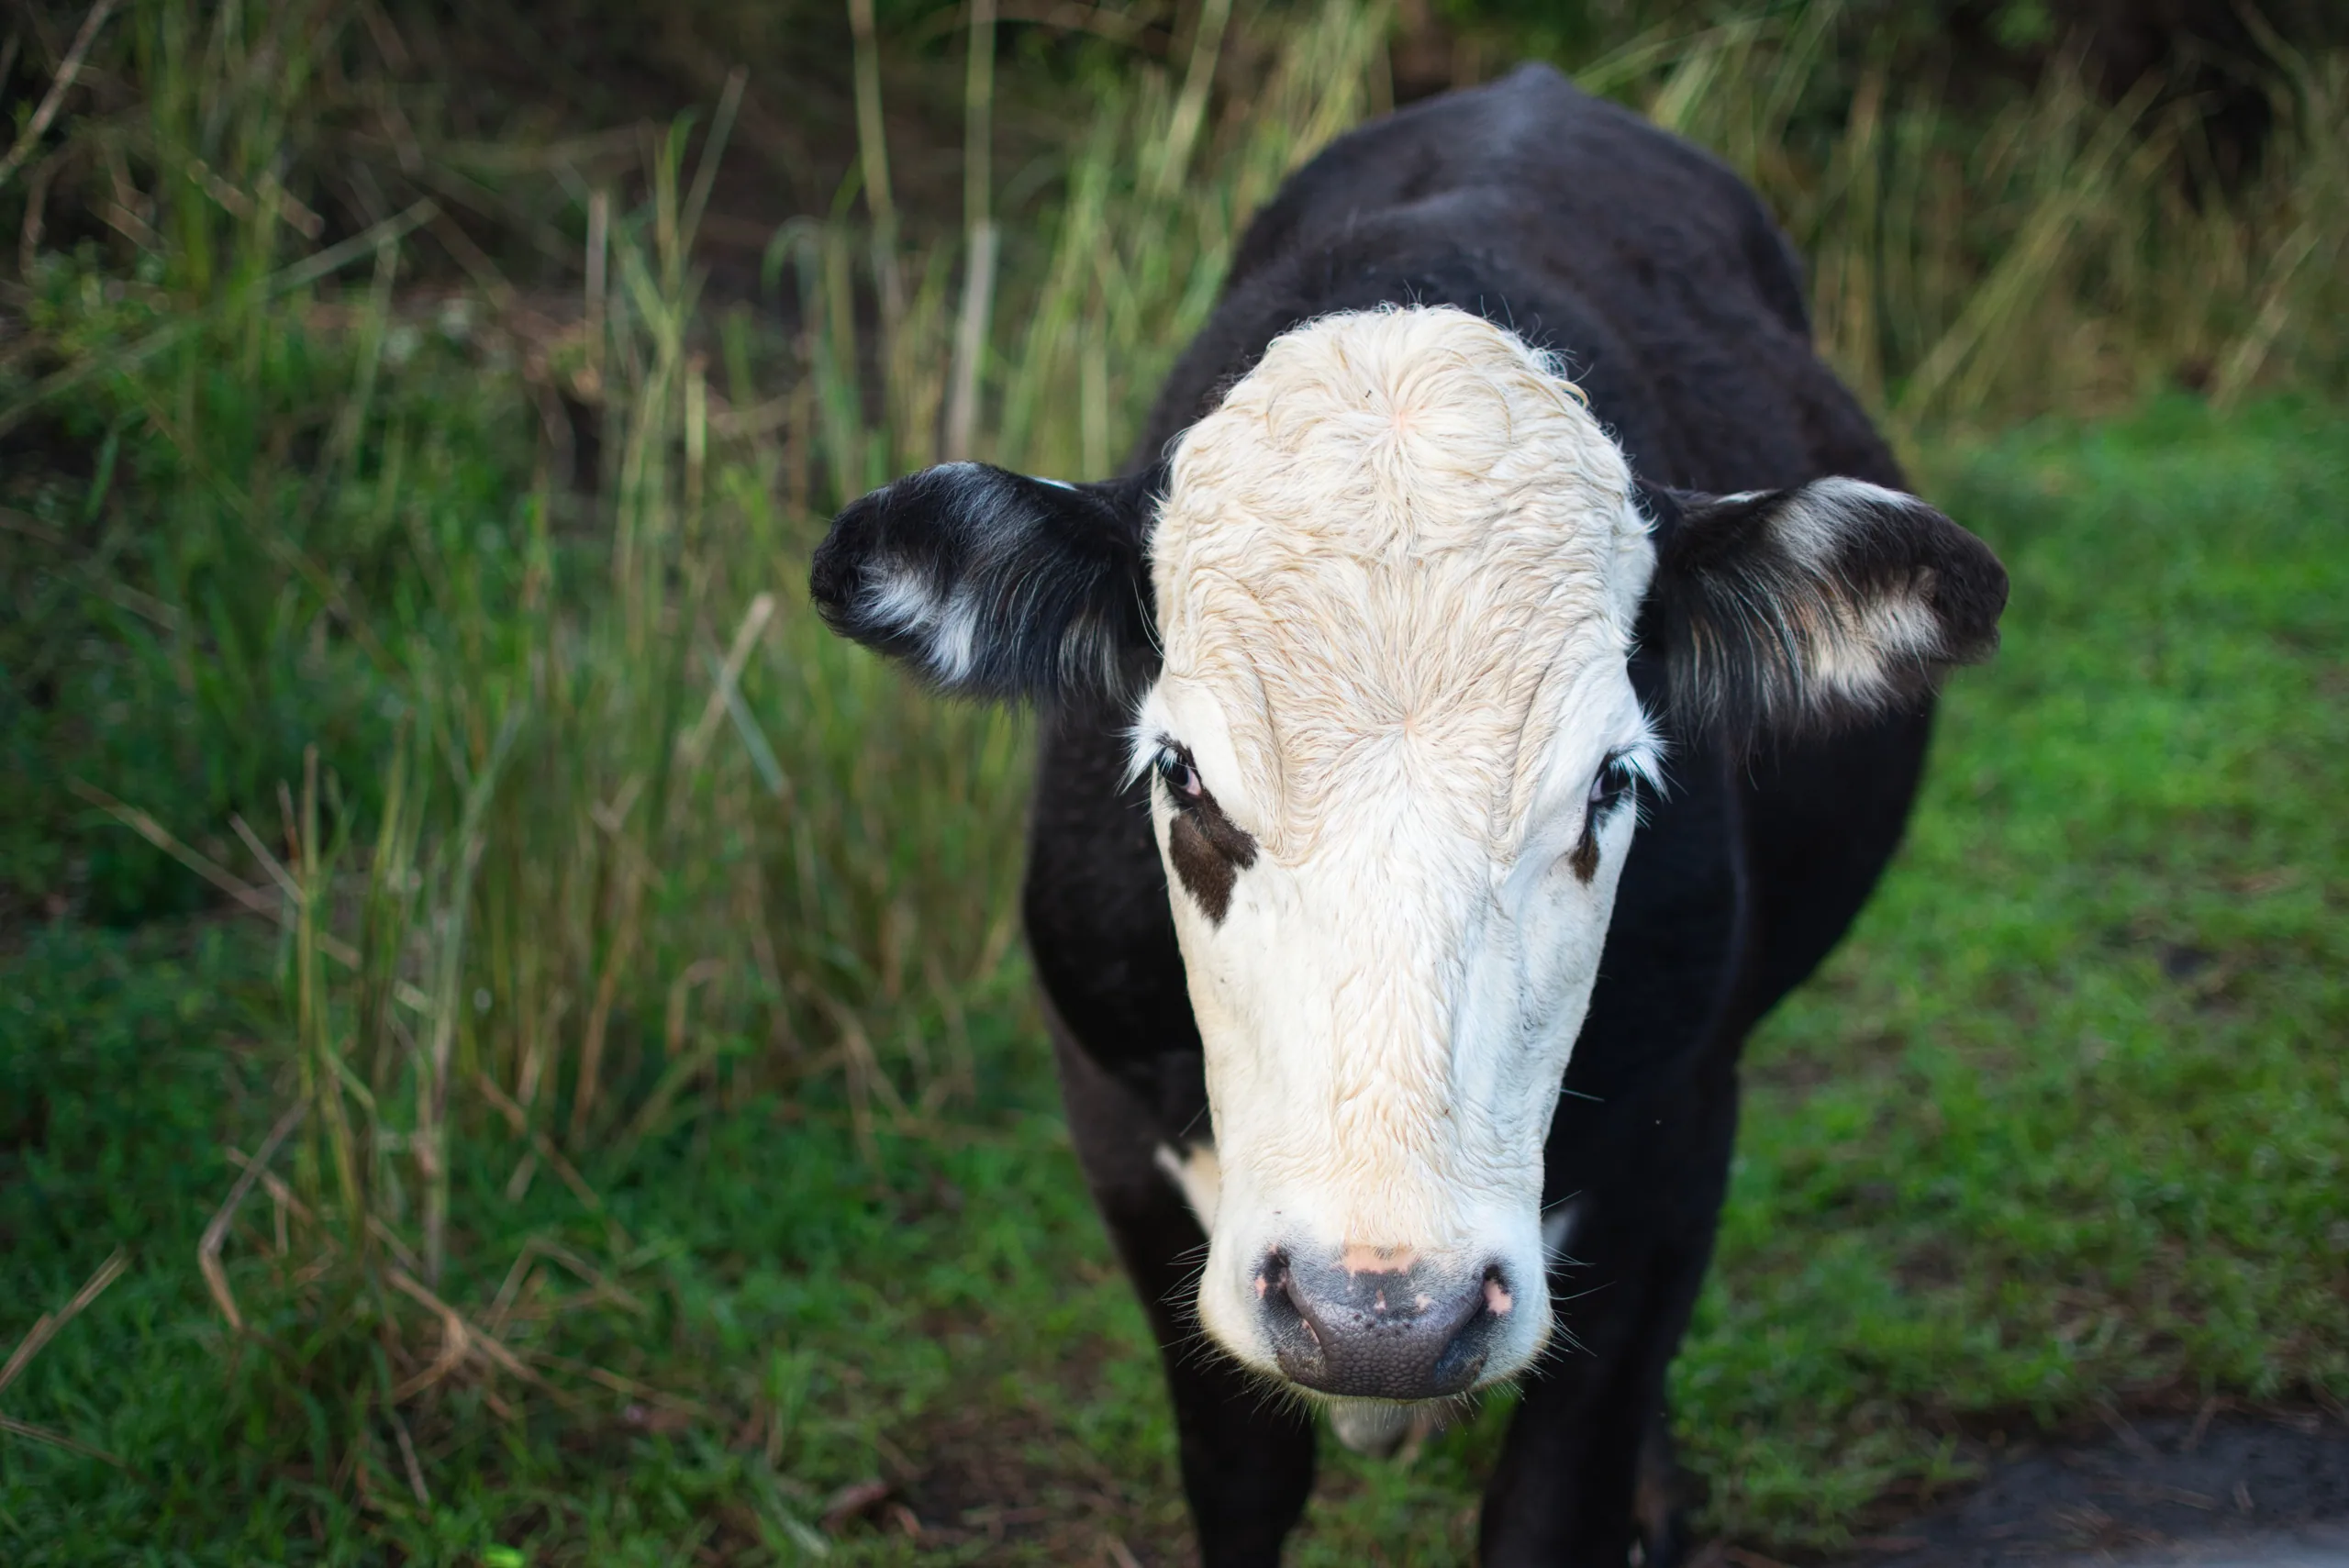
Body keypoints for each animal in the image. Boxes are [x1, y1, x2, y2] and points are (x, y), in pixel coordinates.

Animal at [810, 62, 2007, 1568]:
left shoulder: (1677, 1136)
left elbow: (1555, 1495)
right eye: (1183, 776)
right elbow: (1241, 1474)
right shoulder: (1117, 1129)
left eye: (1611, 782)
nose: (1383, 1314)